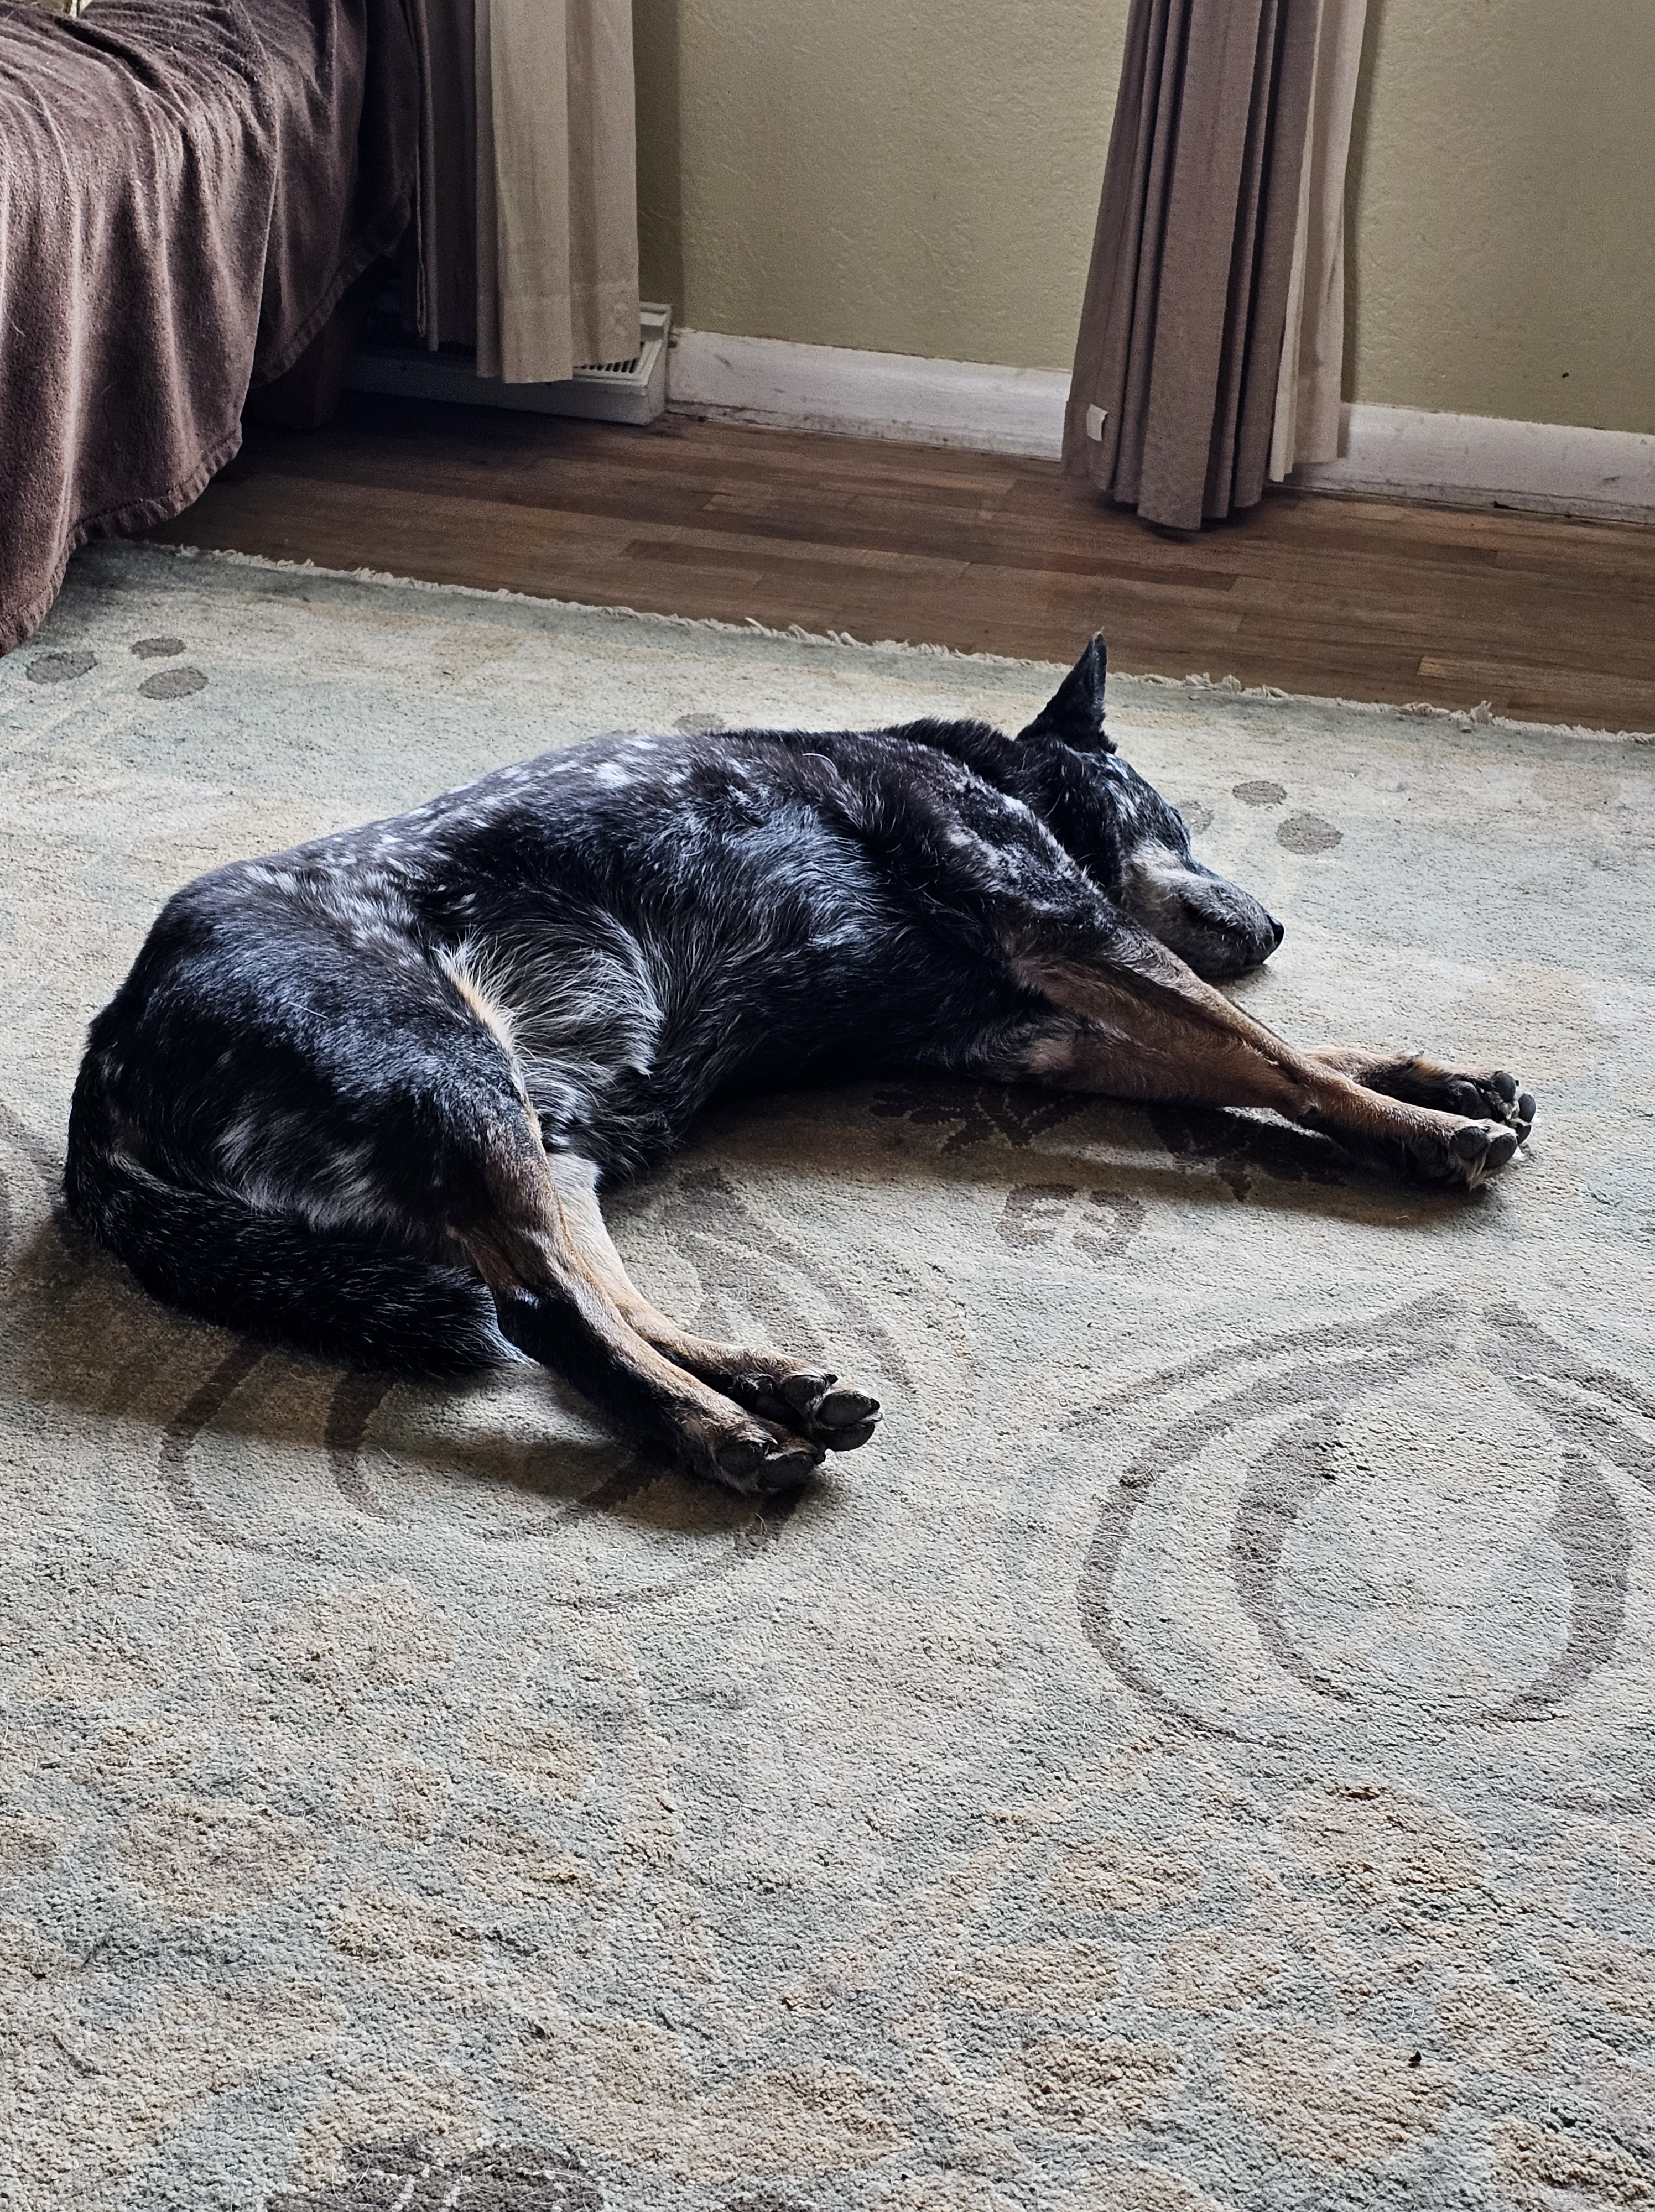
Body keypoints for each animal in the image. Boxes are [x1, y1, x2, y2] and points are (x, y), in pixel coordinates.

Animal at [65, 636, 1534, 1495]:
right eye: (1171, 818)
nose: (1274, 924)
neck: (974, 764)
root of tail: (105, 1064)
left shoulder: (1039, 1024)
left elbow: (1278, 1057)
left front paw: (1440, 1079)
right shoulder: (1068, 936)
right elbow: (1275, 1058)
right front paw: (1427, 1134)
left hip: (550, 1135)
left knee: (592, 1292)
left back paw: (765, 1383)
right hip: (450, 1079)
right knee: (541, 1311)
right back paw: (724, 1434)